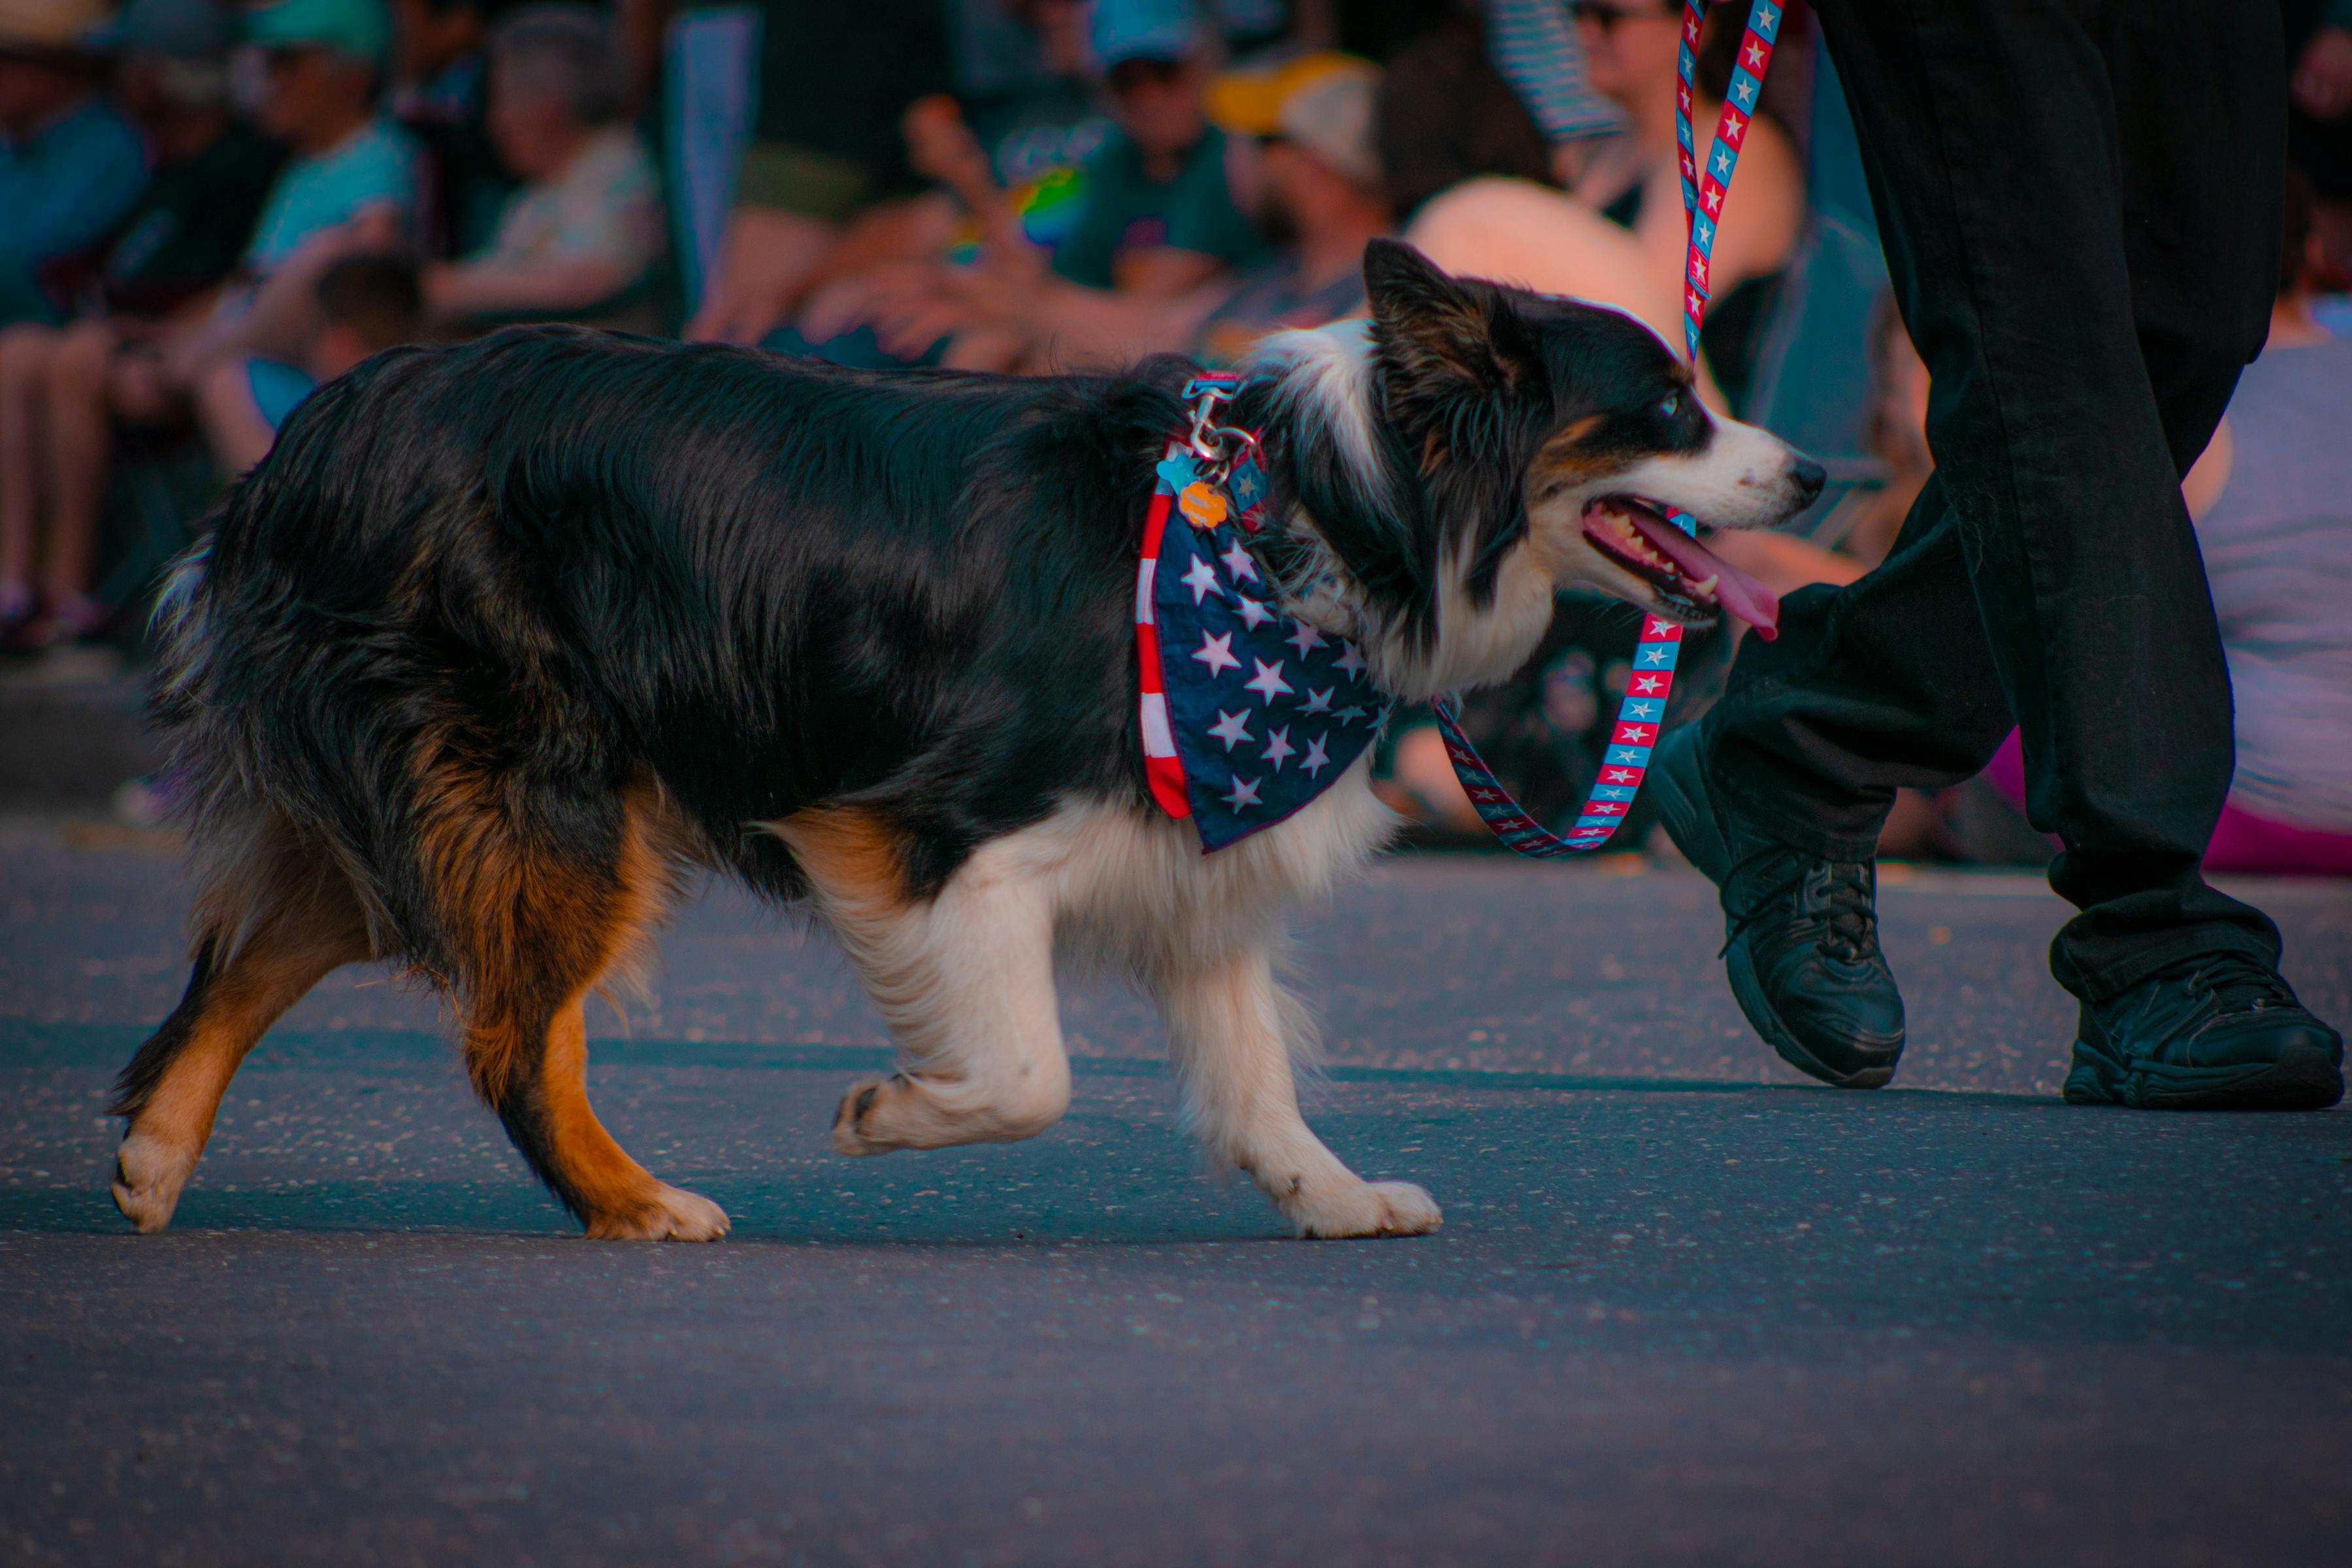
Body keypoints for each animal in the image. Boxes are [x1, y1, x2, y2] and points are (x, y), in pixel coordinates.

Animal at [110, 242, 1816, 1241]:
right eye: (1670, 408)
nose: (1819, 477)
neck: (1308, 513)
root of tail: (302, 445)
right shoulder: (940, 836)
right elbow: (1031, 1074)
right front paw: (893, 1113)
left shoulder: (1195, 844)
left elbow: (1252, 1067)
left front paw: (1324, 1194)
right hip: (552, 795)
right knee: (510, 1034)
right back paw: (634, 1201)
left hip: (433, 805)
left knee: (262, 959)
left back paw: (151, 1160)